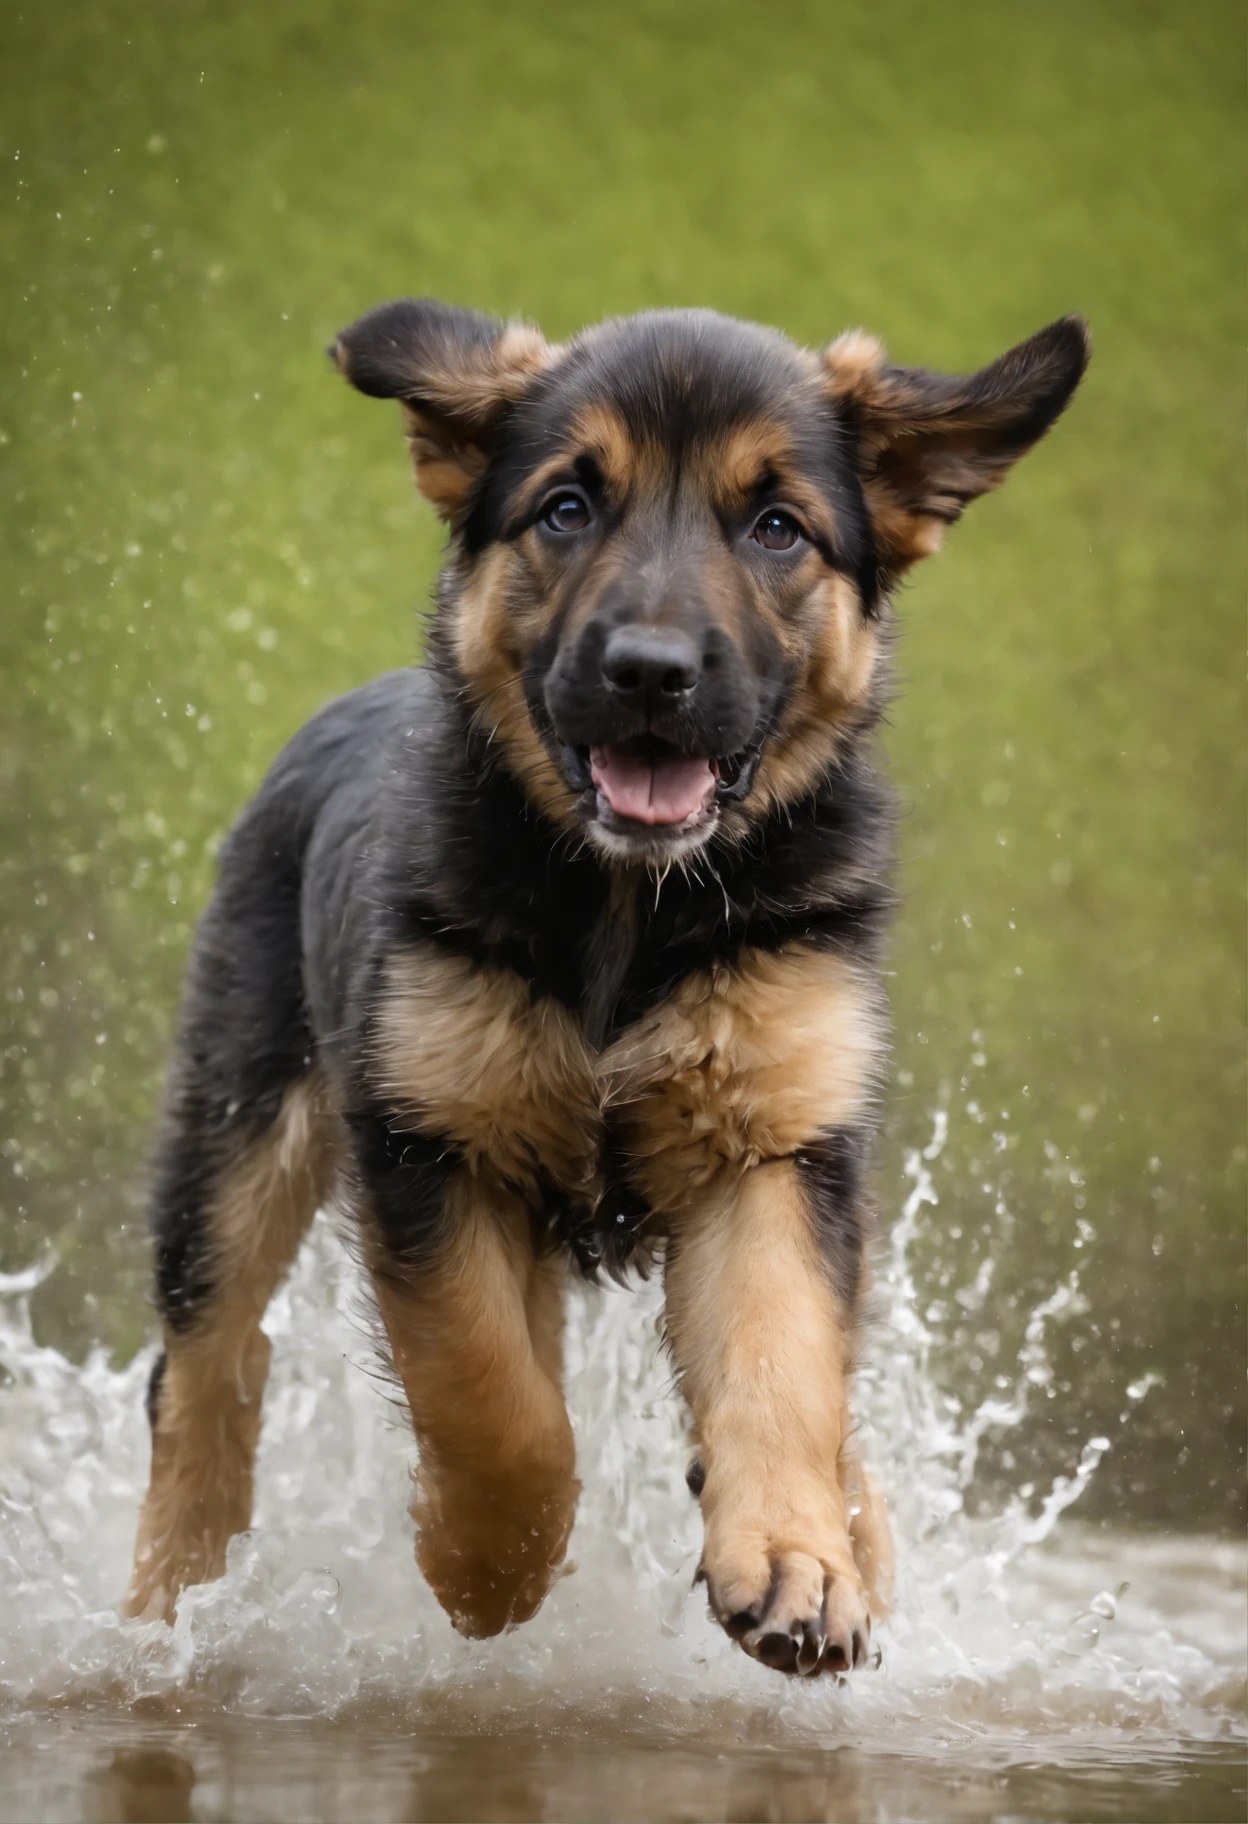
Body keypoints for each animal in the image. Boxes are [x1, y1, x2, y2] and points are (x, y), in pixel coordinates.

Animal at [122, 299, 1087, 1678]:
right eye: (568, 508)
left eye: (776, 526)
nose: (648, 671)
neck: (633, 905)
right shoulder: (430, 1142)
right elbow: (491, 1400)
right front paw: (483, 1568)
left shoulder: (775, 1150)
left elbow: (781, 1362)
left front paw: (798, 1560)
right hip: (237, 1130)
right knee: (205, 1372)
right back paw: (167, 1613)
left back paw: (852, 1523)